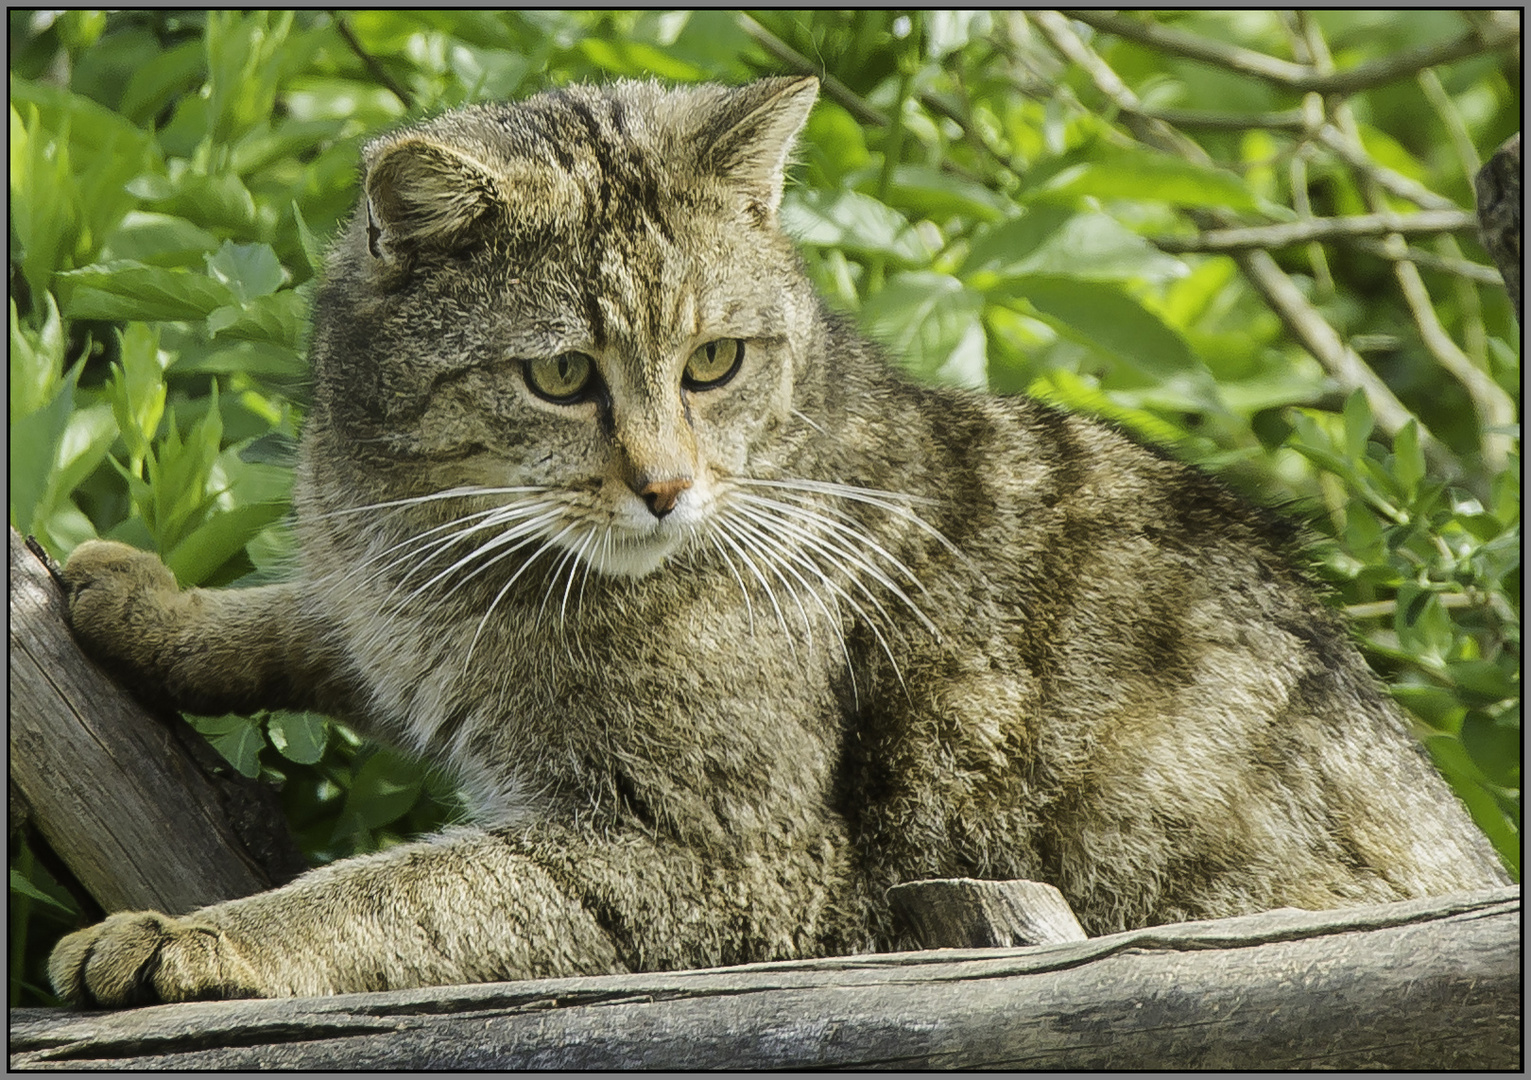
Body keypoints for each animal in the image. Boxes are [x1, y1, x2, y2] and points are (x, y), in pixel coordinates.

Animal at [50, 73, 1506, 1004]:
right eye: (560, 378)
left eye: (713, 363)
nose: (663, 487)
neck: (432, 529)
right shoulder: (387, 593)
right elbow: (309, 619)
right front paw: (151, 605)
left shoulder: (717, 859)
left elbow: (397, 896)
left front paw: (188, 933)